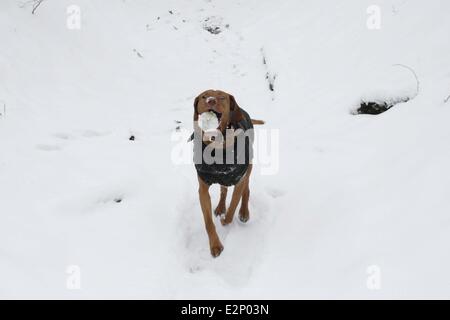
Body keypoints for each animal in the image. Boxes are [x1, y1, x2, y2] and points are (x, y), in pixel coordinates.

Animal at [192, 89, 264, 258]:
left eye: (222, 97)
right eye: (204, 96)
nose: (211, 101)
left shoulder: (239, 180)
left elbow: (232, 209)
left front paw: (226, 220)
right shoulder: (203, 190)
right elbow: (208, 222)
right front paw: (215, 245)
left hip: (248, 168)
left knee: (246, 190)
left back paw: (244, 211)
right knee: (223, 189)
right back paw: (220, 206)